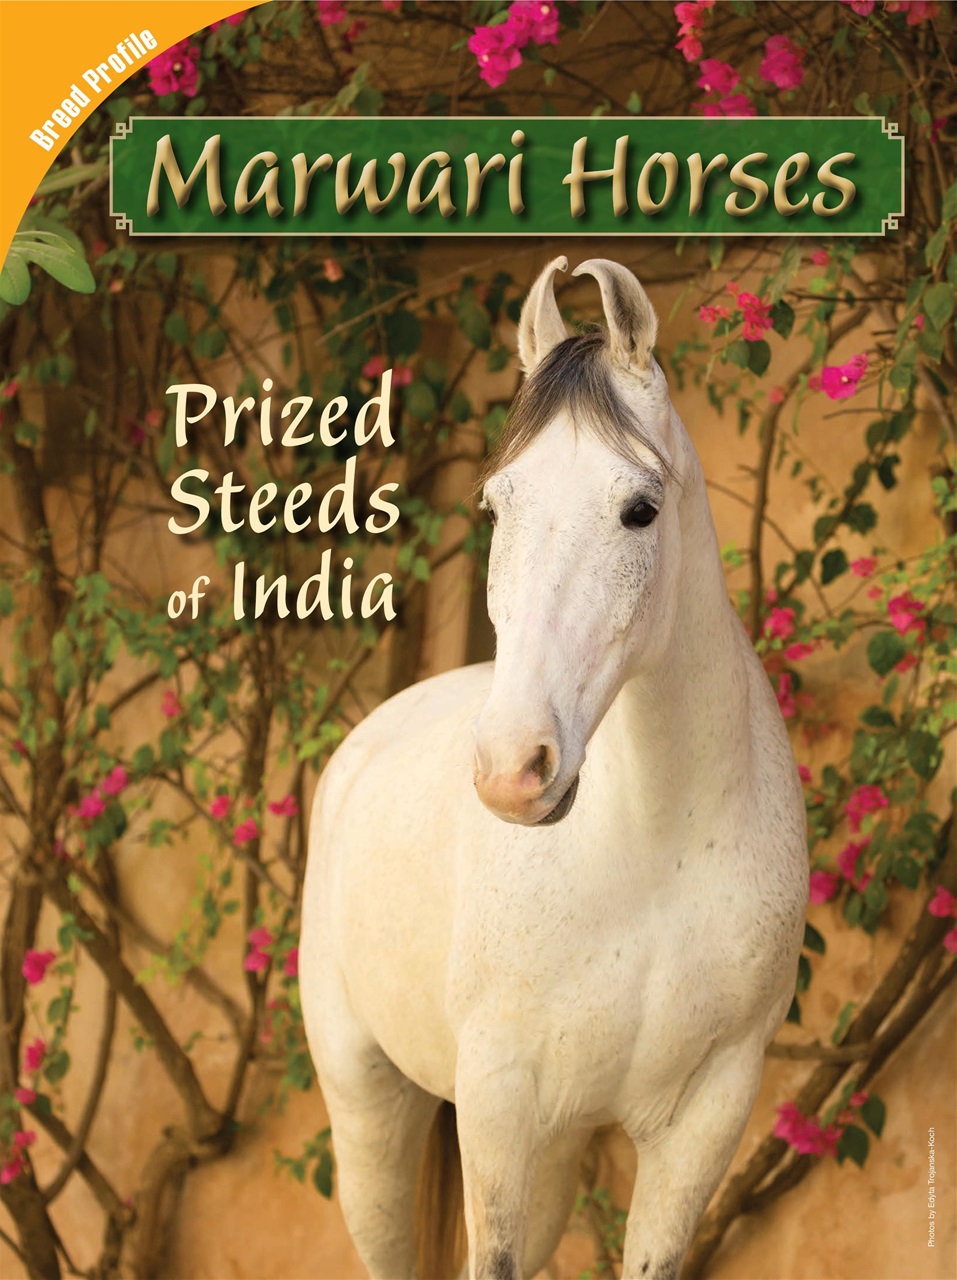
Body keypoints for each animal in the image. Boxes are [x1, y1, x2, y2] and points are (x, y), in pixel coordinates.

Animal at [300, 256, 809, 1280]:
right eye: (496, 505)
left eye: (639, 509)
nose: (511, 767)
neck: (653, 850)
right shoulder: (501, 1102)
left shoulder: (703, 1120)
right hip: (369, 1109)